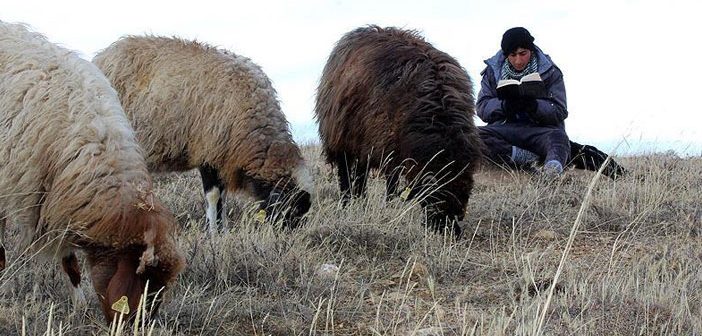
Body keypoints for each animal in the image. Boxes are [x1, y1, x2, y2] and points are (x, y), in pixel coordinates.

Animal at [92, 35, 312, 232]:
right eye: (288, 210)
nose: (287, 239)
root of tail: (101, 56)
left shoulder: (222, 157)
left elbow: (222, 197)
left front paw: (223, 232)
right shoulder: (209, 152)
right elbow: (213, 195)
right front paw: (213, 232)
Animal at [314, 25, 484, 236]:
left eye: (463, 200)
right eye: (433, 198)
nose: (447, 233)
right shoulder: (388, 146)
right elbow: (392, 182)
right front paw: (390, 206)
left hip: (363, 142)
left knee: (361, 173)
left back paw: (361, 201)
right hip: (341, 138)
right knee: (344, 172)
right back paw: (347, 202)